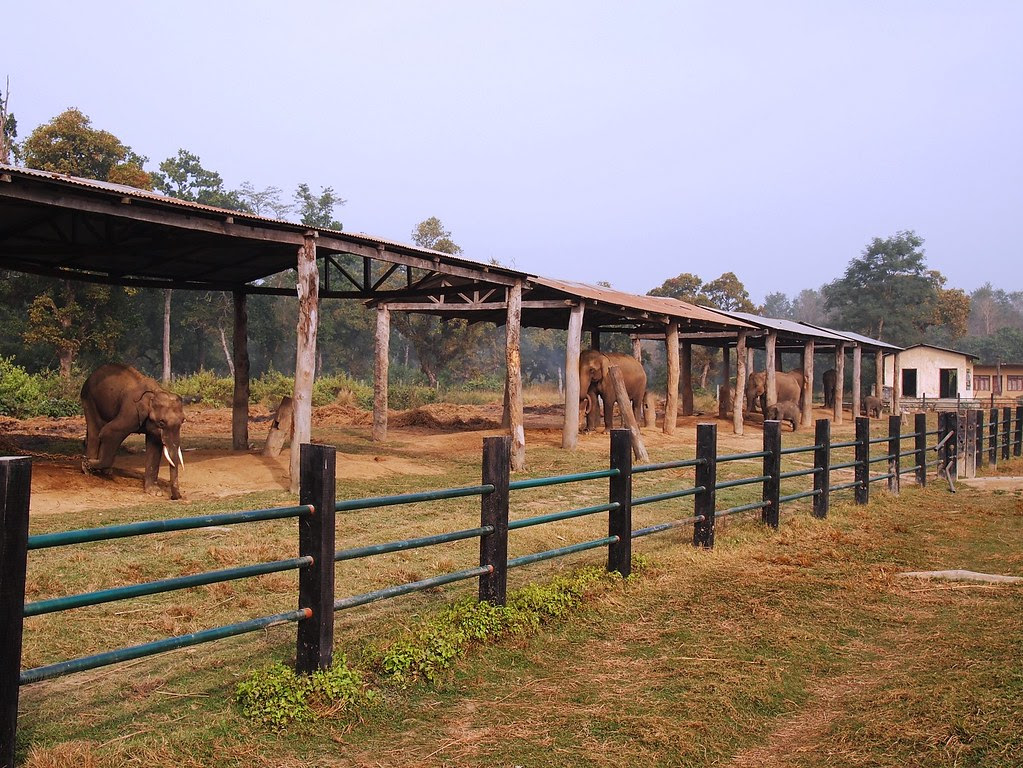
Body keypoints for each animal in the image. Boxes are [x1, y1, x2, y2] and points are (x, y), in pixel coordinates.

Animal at [81, 364, 186, 501]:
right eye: (161, 423)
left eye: (183, 421)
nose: (175, 497)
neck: (154, 393)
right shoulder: (130, 412)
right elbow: (108, 432)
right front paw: (87, 463)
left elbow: (154, 446)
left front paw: (154, 492)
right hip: (89, 399)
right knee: (95, 431)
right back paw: (88, 470)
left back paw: (104, 470)